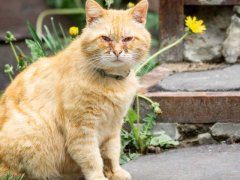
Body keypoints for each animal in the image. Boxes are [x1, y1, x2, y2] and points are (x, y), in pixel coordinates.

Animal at [0, 0, 150, 179]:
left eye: (128, 39)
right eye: (105, 38)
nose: (117, 52)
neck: (111, 81)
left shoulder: (113, 126)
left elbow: (112, 153)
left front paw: (115, 172)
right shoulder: (82, 129)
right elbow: (92, 158)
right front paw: (98, 177)